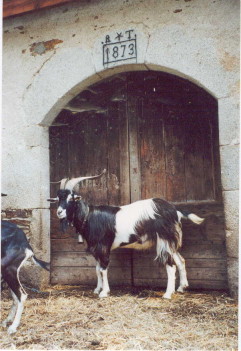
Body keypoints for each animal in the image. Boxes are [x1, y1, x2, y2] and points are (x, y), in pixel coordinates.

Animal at [48, 170, 204, 300]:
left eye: (71, 198)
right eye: (58, 198)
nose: (59, 212)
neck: (89, 216)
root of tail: (174, 210)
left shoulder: (103, 246)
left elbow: (103, 269)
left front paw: (104, 292)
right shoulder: (95, 249)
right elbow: (97, 270)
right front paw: (97, 289)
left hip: (164, 239)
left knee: (170, 265)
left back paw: (167, 294)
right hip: (170, 241)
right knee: (180, 260)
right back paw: (181, 287)